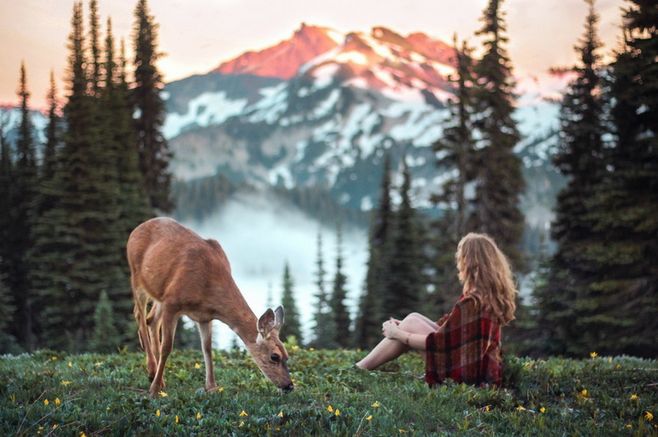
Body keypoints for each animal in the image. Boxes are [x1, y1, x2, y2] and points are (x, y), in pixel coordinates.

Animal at [127, 217, 290, 396]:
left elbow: (207, 349)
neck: (208, 286)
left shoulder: (204, 316)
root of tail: (137, 228)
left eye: (287, 355)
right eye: (274, 356)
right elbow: (167, 347)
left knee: (151, 320)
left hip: (159, 293)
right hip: (137, 277)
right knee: (139, 315)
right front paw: (154, 390)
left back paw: (158, 375)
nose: (289, 386)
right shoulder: (172, 302)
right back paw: (152, 371)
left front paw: (212, 387)